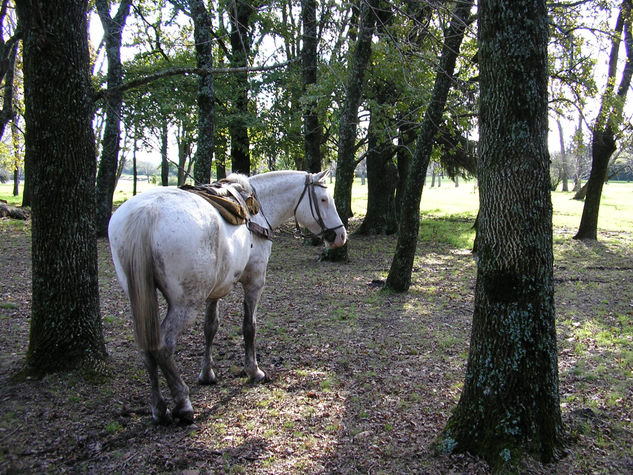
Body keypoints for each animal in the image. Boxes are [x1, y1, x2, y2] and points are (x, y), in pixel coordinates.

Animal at [108, 171, 346, 424]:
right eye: (324, 199)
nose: (340, 235)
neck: (257, 211)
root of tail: (146, 212)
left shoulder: (215, 290)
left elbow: (210, 327)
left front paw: (207, 374)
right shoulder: (254, 282)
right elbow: (249, 327)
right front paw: (253, 370)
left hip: (141, 299)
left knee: (147, 345)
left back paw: (158, 407)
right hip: (185, 305)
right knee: (163, 346)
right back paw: (183, 402)